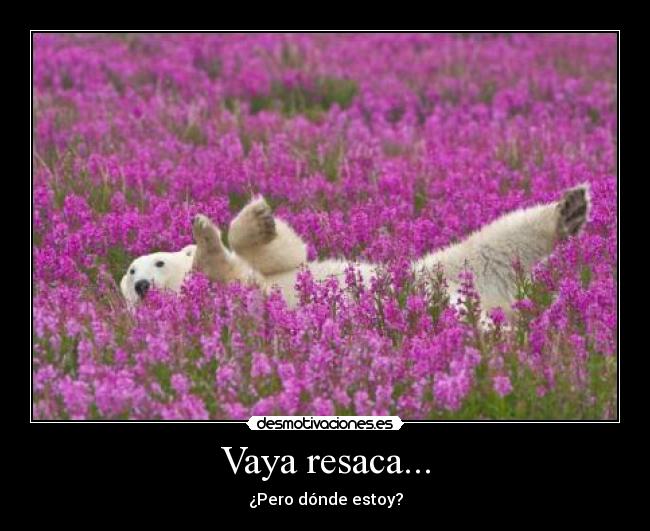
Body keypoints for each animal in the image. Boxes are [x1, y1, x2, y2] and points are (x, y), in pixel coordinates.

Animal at [120, 184, 590, 320]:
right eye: (129, 274)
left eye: (154, 262)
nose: (142, 285)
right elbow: (224, 273)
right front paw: (206, 240)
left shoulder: (274, 271)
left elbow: (287, 254)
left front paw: (253, 219)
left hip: (445, 268)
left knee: (496, 241)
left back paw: (570, 209)